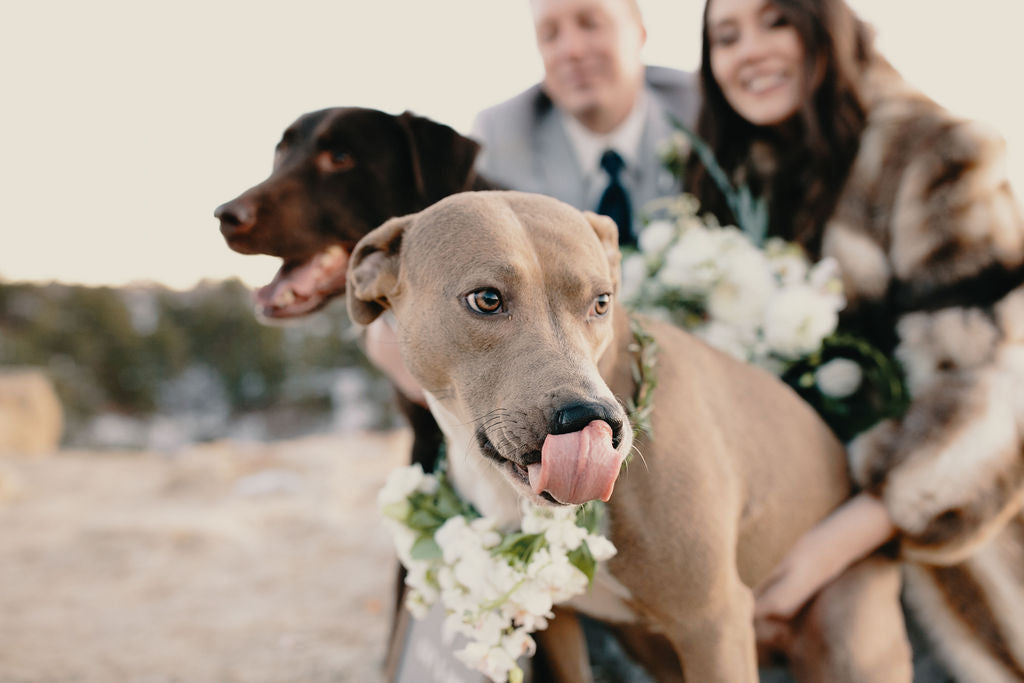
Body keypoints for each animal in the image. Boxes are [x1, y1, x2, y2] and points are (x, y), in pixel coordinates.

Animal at [348, 191, 909, 683]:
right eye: (486, 299)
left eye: (601, 302)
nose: (590, 417)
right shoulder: (557, 622)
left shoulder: (713, 624)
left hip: (849, 640)